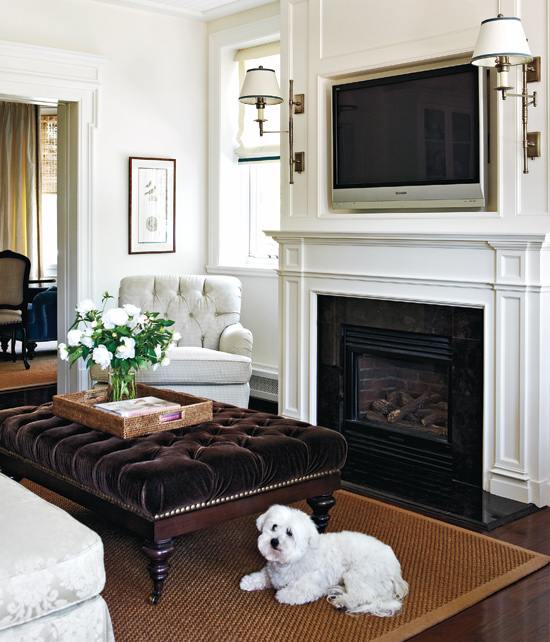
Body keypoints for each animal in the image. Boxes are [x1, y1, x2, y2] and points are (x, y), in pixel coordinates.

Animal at [242, 502, 410, 612]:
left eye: (289, 533)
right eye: (274, 526)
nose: (274, 541)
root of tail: (397, 571)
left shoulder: (310, 586)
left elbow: (291, 592)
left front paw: (283, 594)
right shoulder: (271, 573)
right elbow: (262, 576)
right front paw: (249, 581)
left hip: (359, 573)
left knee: (363, 595)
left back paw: (343, 602)